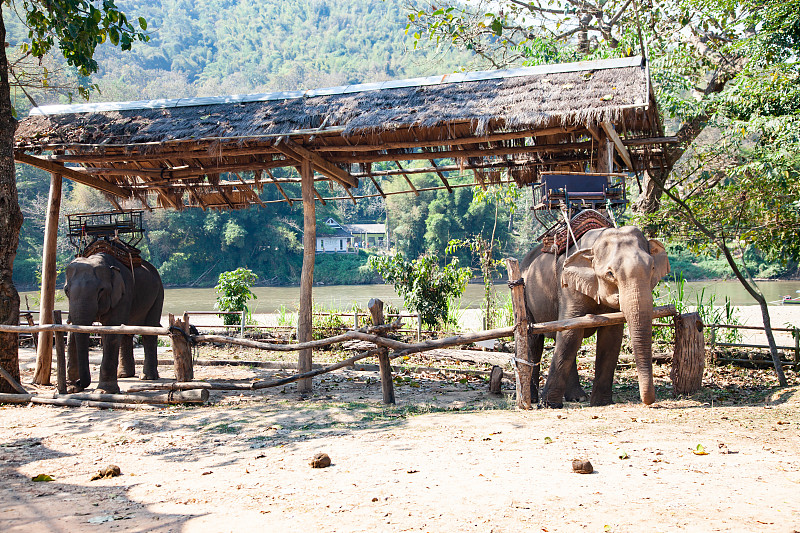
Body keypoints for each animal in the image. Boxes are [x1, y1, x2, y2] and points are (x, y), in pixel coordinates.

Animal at [64, 251, 164, 392]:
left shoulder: (124, 294)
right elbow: (72, 330)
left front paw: (103, 391)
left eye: (101, 290)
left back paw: (147, 378)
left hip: (158, 295)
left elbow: (111, 332)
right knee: (126, 333)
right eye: (66, 290)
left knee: (149, 331)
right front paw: (71, 389)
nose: (79, 383)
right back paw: (124, 375)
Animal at [520, 225, 672, 408]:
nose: (648, 402)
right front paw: (549, 404)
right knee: (535, 342)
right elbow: (571, 332)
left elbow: (610, 337)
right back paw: (533, 399)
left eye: (652, 268)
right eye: (610, 273)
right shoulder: (568, 287)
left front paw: (602, 403)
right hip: (525, 296)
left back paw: (577, 398)